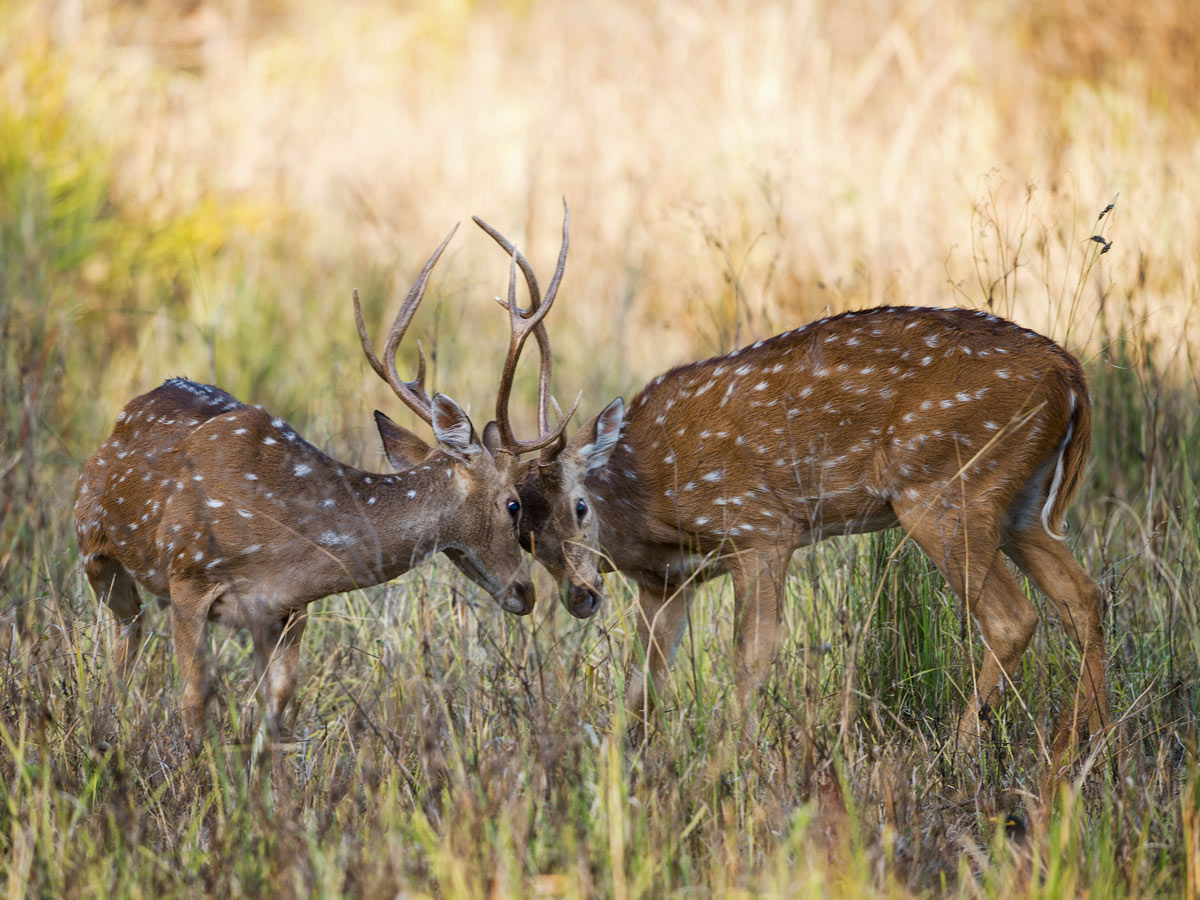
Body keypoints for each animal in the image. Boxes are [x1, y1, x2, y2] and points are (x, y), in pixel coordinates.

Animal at [73, 229, 561, 748]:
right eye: (514, 504)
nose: (527, 592)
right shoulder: (189, 578)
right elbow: (193, 701)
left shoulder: (290, 609)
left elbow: (277, 709)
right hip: (93, 548)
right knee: (127, 637)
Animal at [475, 202, 1104, 753]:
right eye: (524, 533)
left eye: (580, 506)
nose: (580, 597)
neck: (648, 503)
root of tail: (1070, 375)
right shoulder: (667, 581)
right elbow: (642, 685)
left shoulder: (760, 528)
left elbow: (750, 658)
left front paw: (732, 766)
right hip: (1020, 500)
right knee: (1083, 597)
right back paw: (1084, 747)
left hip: (946, 488)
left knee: (1013, 617)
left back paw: (962, 750)